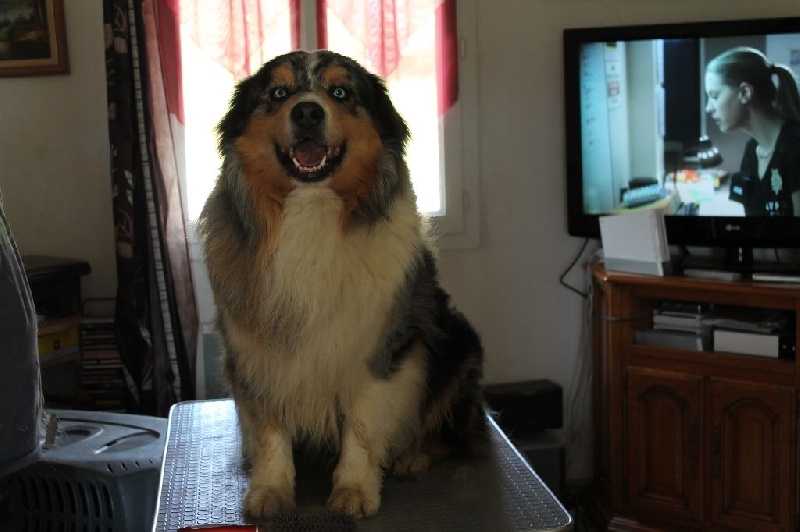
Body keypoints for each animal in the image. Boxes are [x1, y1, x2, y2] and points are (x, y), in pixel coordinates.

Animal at [200, 50, 488, 520]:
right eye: (278, 93)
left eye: (340, 92)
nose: (306, 111)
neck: (310, 209)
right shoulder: (256, 350)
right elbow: (269, 428)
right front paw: (270, 490)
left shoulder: (380, 345)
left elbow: (363, 424)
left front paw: (353, 490)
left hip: (461, 347)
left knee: (457, 433)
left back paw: (412, 455)